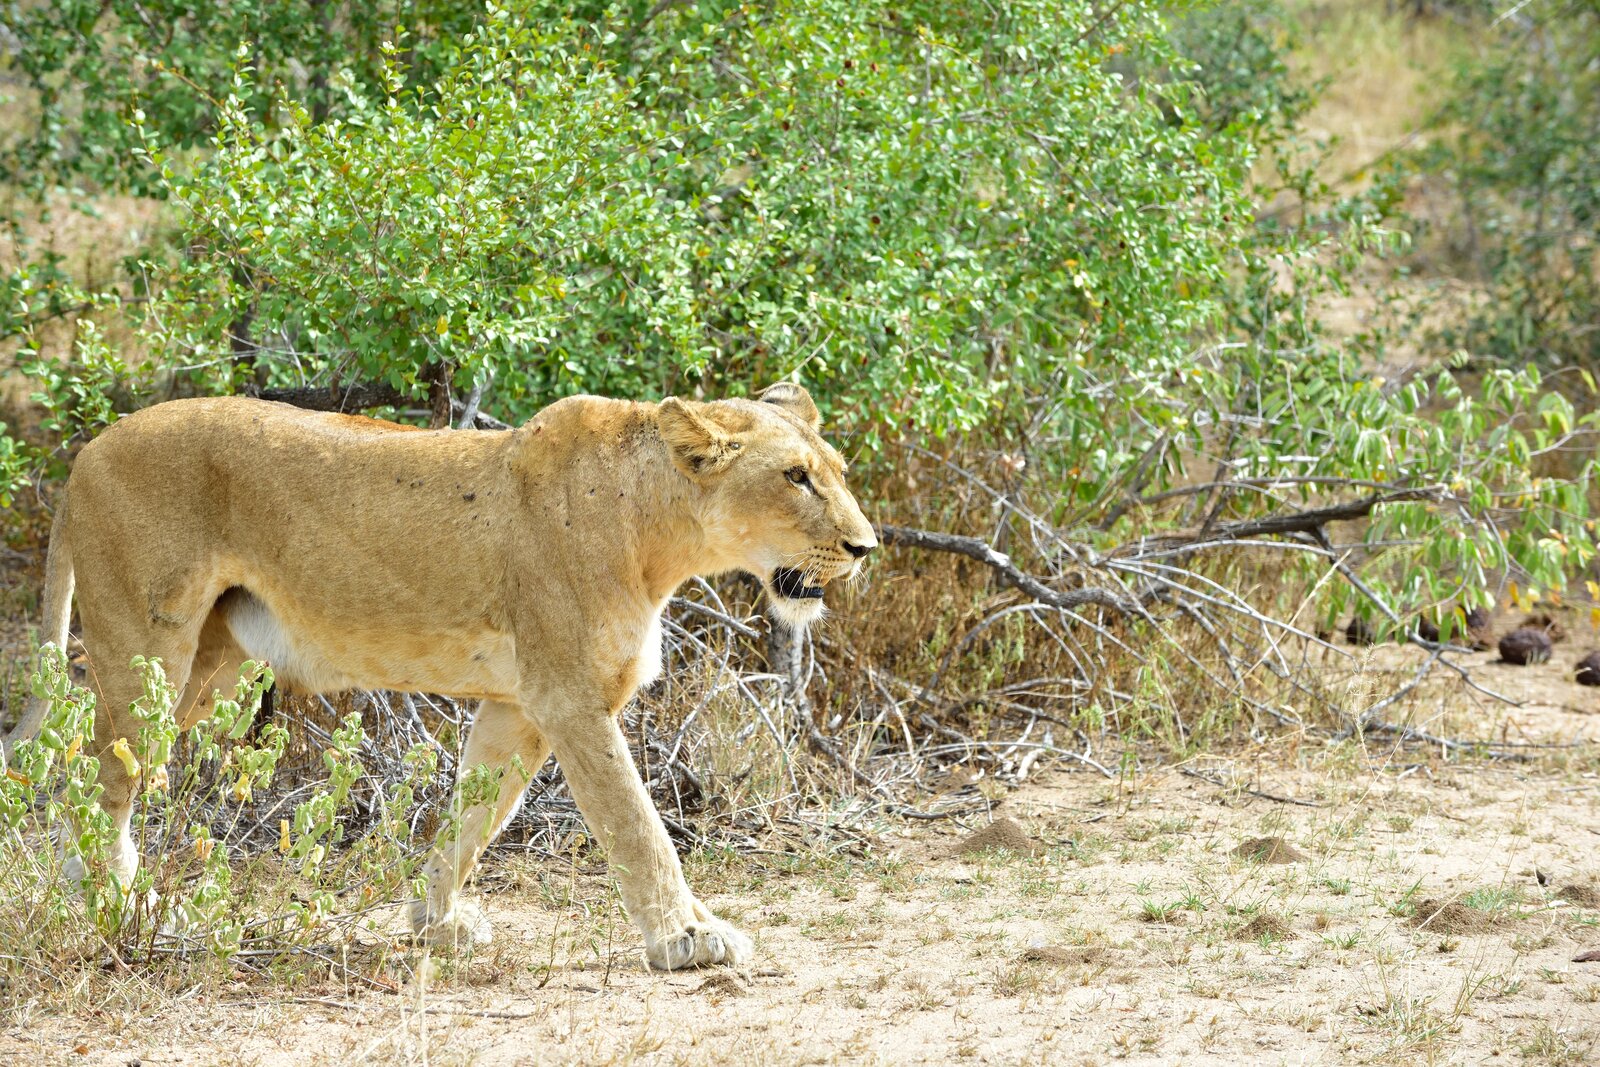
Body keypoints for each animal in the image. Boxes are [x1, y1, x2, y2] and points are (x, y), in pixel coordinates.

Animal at [7, 382, 875, 969]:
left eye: (834, 469)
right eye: (795, 477)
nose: (866, 546)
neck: (658, 533)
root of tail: (85, 453)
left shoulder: (518, 706)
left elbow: (474, 813)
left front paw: (436, 920)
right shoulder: (570, 697)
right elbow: (637, 824)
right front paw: (687, 936)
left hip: (210, 666)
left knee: (98, 774)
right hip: (150, 649)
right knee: (99, 774)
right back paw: (122, 909)